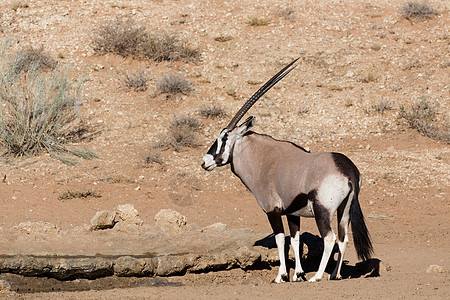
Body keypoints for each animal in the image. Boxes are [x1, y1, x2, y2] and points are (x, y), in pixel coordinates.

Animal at [202, 59, 374, 284]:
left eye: (223, 138)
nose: (205, 161)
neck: (263, 159)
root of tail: (348, 170)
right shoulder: (293, 212)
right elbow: (295, 240)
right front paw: (298, 274)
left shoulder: (272, 210)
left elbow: (280, 239)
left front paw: (281, 275)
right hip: (344, 210)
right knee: (343, 239)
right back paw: (334, 275)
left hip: (323, 210)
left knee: (330, 238)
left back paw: (317, 276)